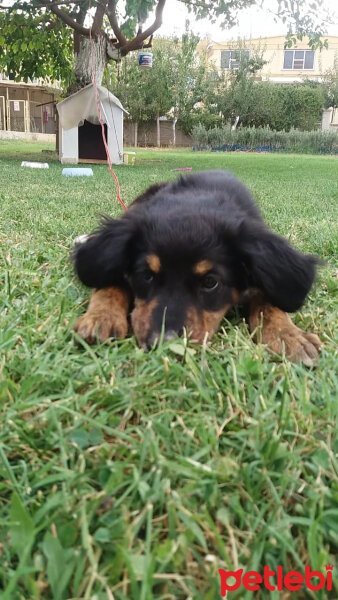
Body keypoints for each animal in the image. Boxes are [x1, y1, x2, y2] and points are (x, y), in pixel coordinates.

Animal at [72, 169, 320, 366]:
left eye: (210, 282)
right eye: (146, 275)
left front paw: (289, 336)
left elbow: (269, 300)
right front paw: (101, 317)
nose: (165, 344)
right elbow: (109, 278)